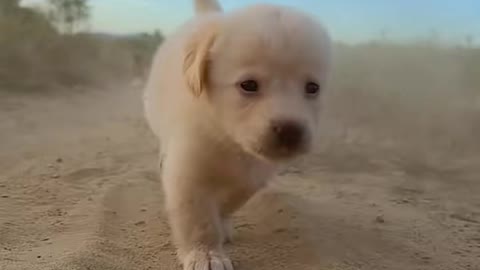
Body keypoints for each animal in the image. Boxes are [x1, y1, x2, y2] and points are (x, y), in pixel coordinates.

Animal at [141, 0, 332, 268]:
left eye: (312, 88)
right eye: (248, 85)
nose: (290, 130)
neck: (231, 142)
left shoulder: (253, 175)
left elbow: (231, 199)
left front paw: (222, 224)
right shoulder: (188, 171)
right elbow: (198, 219)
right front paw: (205, 253)